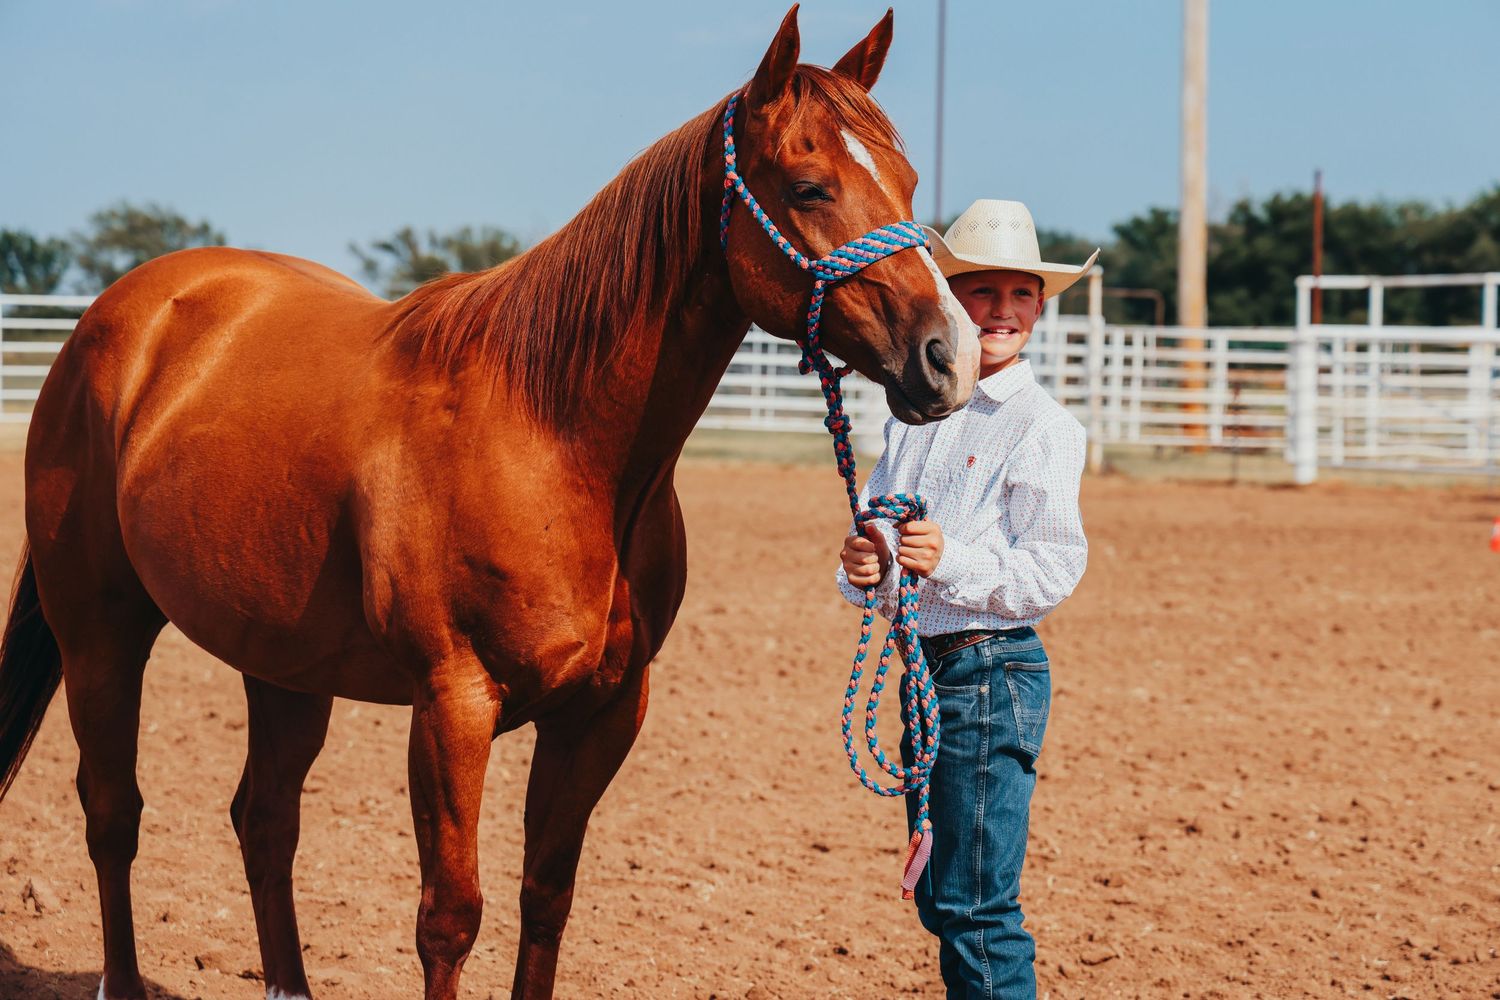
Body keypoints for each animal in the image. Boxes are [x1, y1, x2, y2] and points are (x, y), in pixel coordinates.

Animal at [0, 6, 979, 998]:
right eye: (811, 186)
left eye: (907, 182)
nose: (951, 356)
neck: (553, 434)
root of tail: (112, 320)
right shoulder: (452, 706)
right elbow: (450, 916)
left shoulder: (602, 713)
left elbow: (545, 898)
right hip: (103, 631)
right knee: (112, 815)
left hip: (279, 663)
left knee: (264, 820)